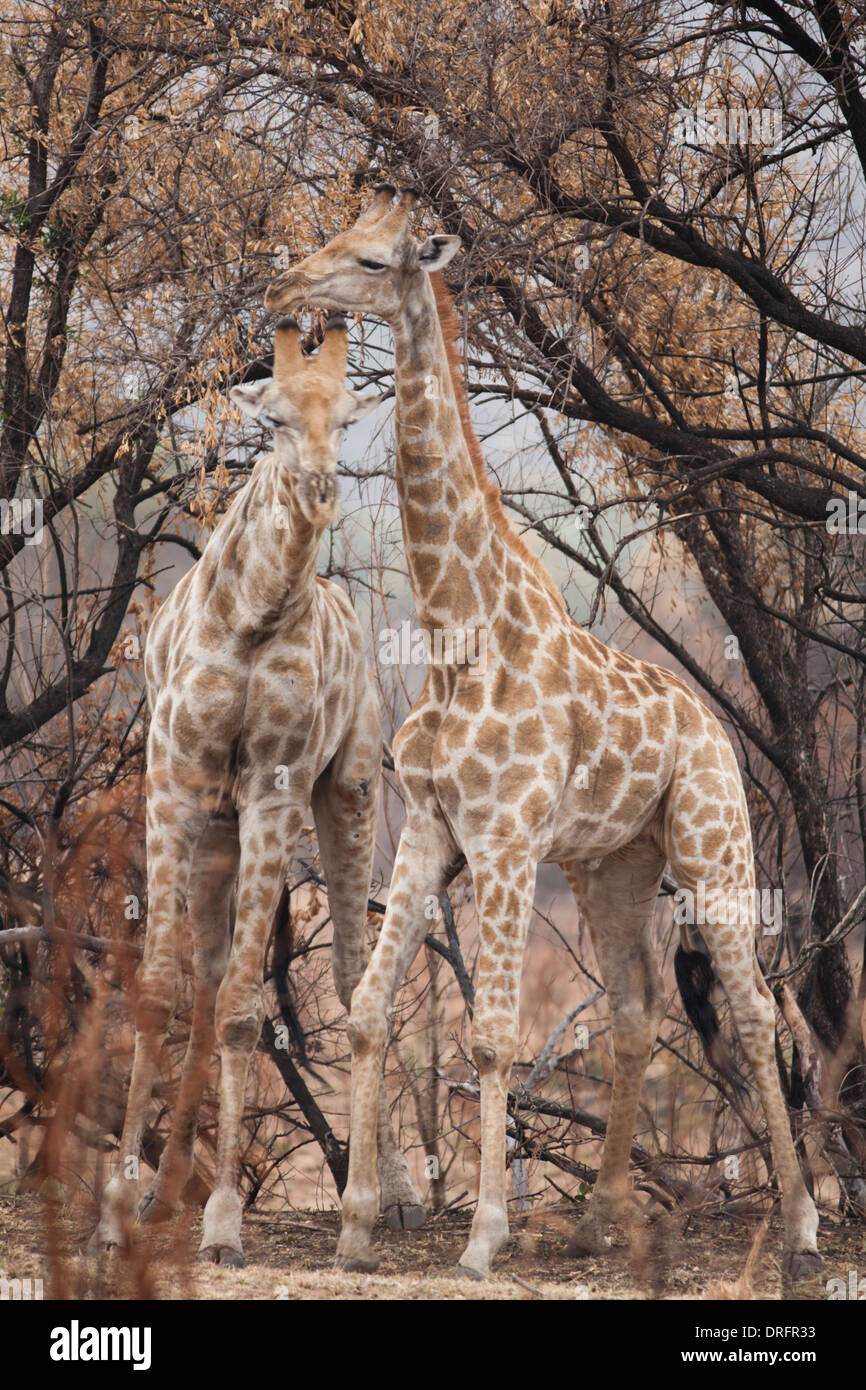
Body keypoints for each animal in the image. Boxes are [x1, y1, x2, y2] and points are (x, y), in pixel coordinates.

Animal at [90, 315, 422, 1273]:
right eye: (269, 419)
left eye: (346, 417)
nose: (318, 487)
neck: (250, 617)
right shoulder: (174, 778)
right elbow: (163, 988)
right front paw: (119, 1211)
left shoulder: (276, 785)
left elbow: (247, 1012)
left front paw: (226, 1222)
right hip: (216, 831)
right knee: (206, 986)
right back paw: (166, 1193)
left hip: (348, 790)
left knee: (351, 973)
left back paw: (385, 1202)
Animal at [268, 184, 822, 1278]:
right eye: (335, 238)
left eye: (371, 259)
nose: (282, 284)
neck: (457, 629)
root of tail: (712, 726)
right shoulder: (432, 826)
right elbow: (367, 1011)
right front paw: (357, 1228)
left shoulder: (507, 835)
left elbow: (489, 1035)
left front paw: (482, 1237)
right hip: (614, 865)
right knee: (636, 1007)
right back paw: (597, 1217)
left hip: (714, 840)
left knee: (748, 1010)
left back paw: (801, 1230)